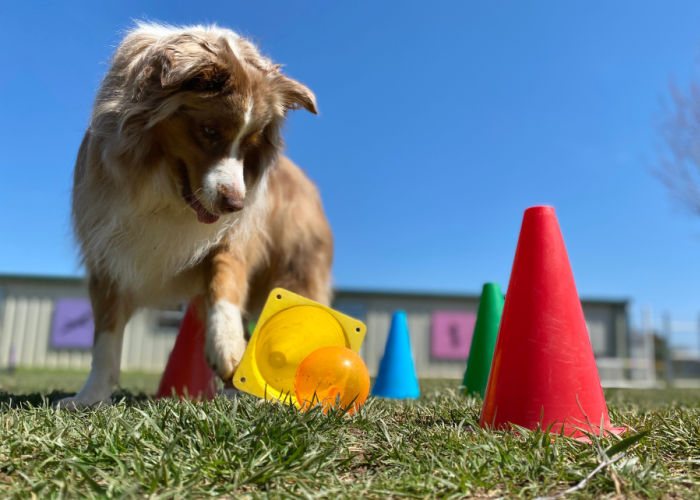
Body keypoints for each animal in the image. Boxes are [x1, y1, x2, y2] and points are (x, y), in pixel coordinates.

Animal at [58, 21, 332, 408]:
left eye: (250, 146)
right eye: (209, 131)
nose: (236, 204)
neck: (164, 191)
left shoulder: (232, 236)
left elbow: (225, 277)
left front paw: (228, 348)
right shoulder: (107, 247)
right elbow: (105, 335)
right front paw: (90, 397)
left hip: (298, 266)